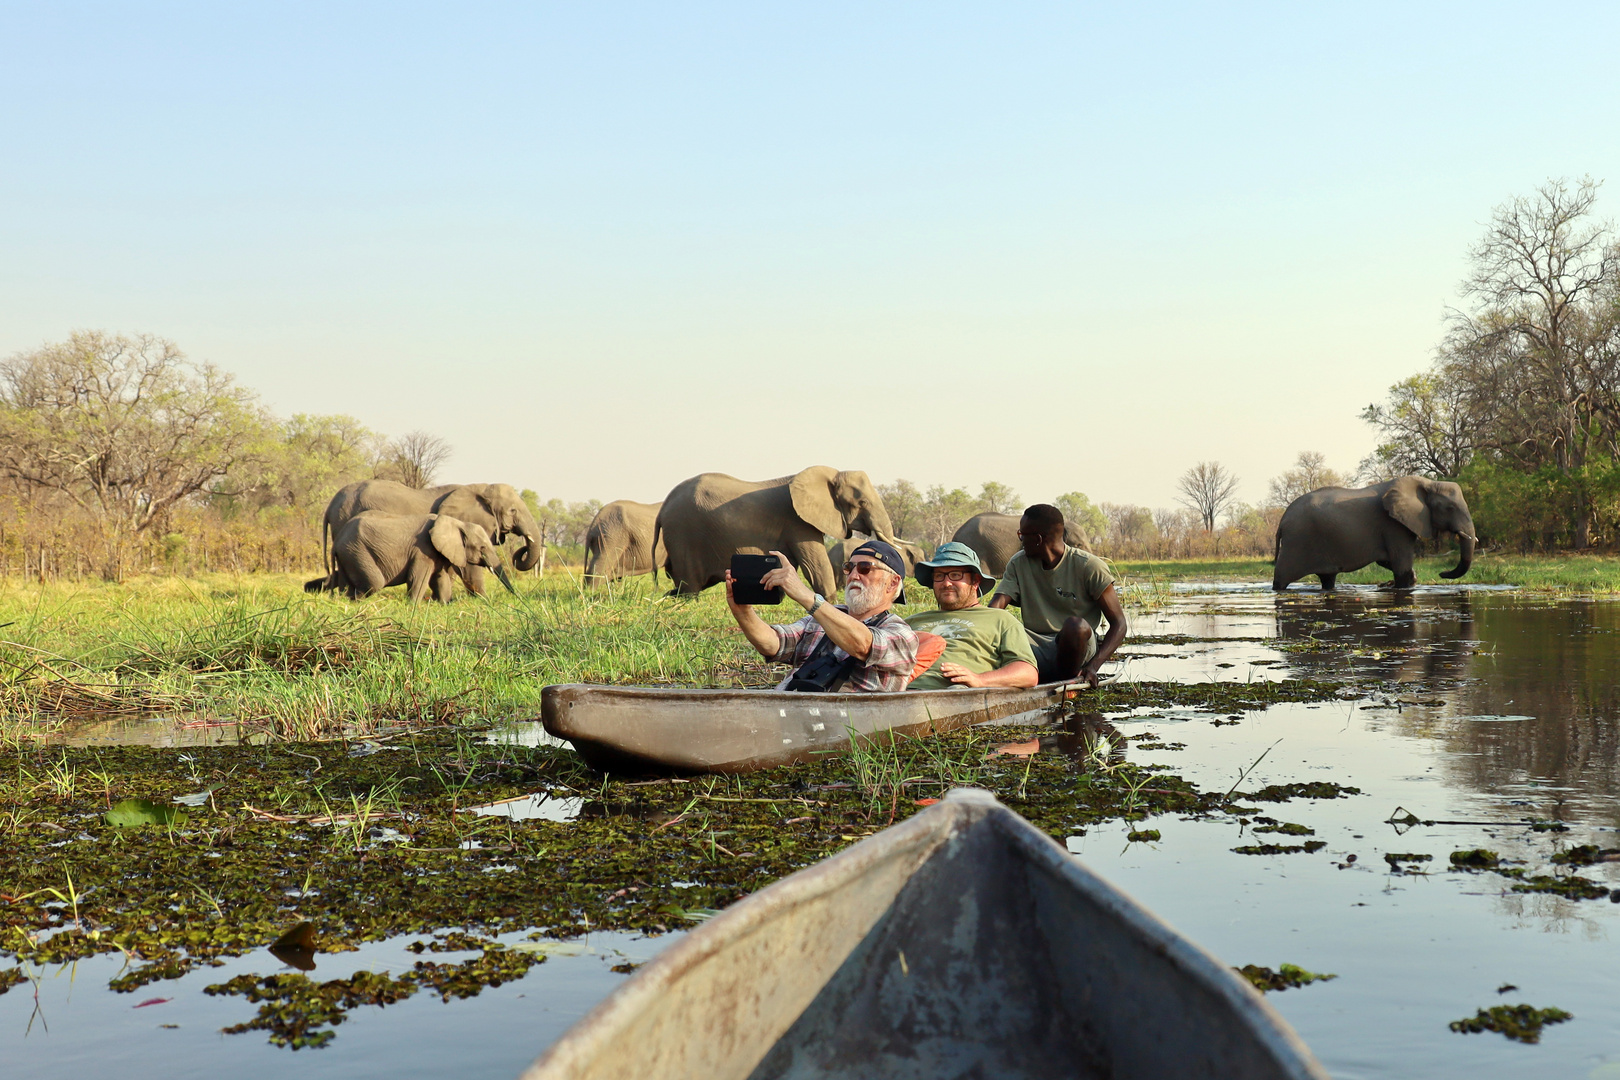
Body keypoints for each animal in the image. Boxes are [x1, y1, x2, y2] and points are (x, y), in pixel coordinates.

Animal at [301, 514, 508, 605]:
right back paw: (359, 603)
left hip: (347, 555)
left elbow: (440, 579)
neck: (456, 522)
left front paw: (443, 604)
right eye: (482, 548)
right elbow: (419, 578)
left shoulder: (436, 552)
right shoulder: (423, 549)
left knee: (346, 584)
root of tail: (336, 541)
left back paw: (347, 603)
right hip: (356, 552)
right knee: (374, 582)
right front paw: (414, 606)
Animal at [320, 482, 544, 599]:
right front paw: (482, 600)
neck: (479, 487)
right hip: (344, 523)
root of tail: (330, 506)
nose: (517, 597)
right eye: (513, 510)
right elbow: (468, 568)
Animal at [651, 466, 894, 599]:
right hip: (683, 535)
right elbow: (815, 566)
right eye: (862, 502)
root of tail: (662, 509)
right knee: (689, 588)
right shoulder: (798, 522)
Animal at [1270, 472, 1477, 592]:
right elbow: (1402, 566)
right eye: (1450, 508)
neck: (1428, 483)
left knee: (1328, 579)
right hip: (1296, 541)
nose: (1442, 574)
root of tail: (1282, 520)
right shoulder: (1393, 524)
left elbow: (1387, 561)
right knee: (1282, 578)